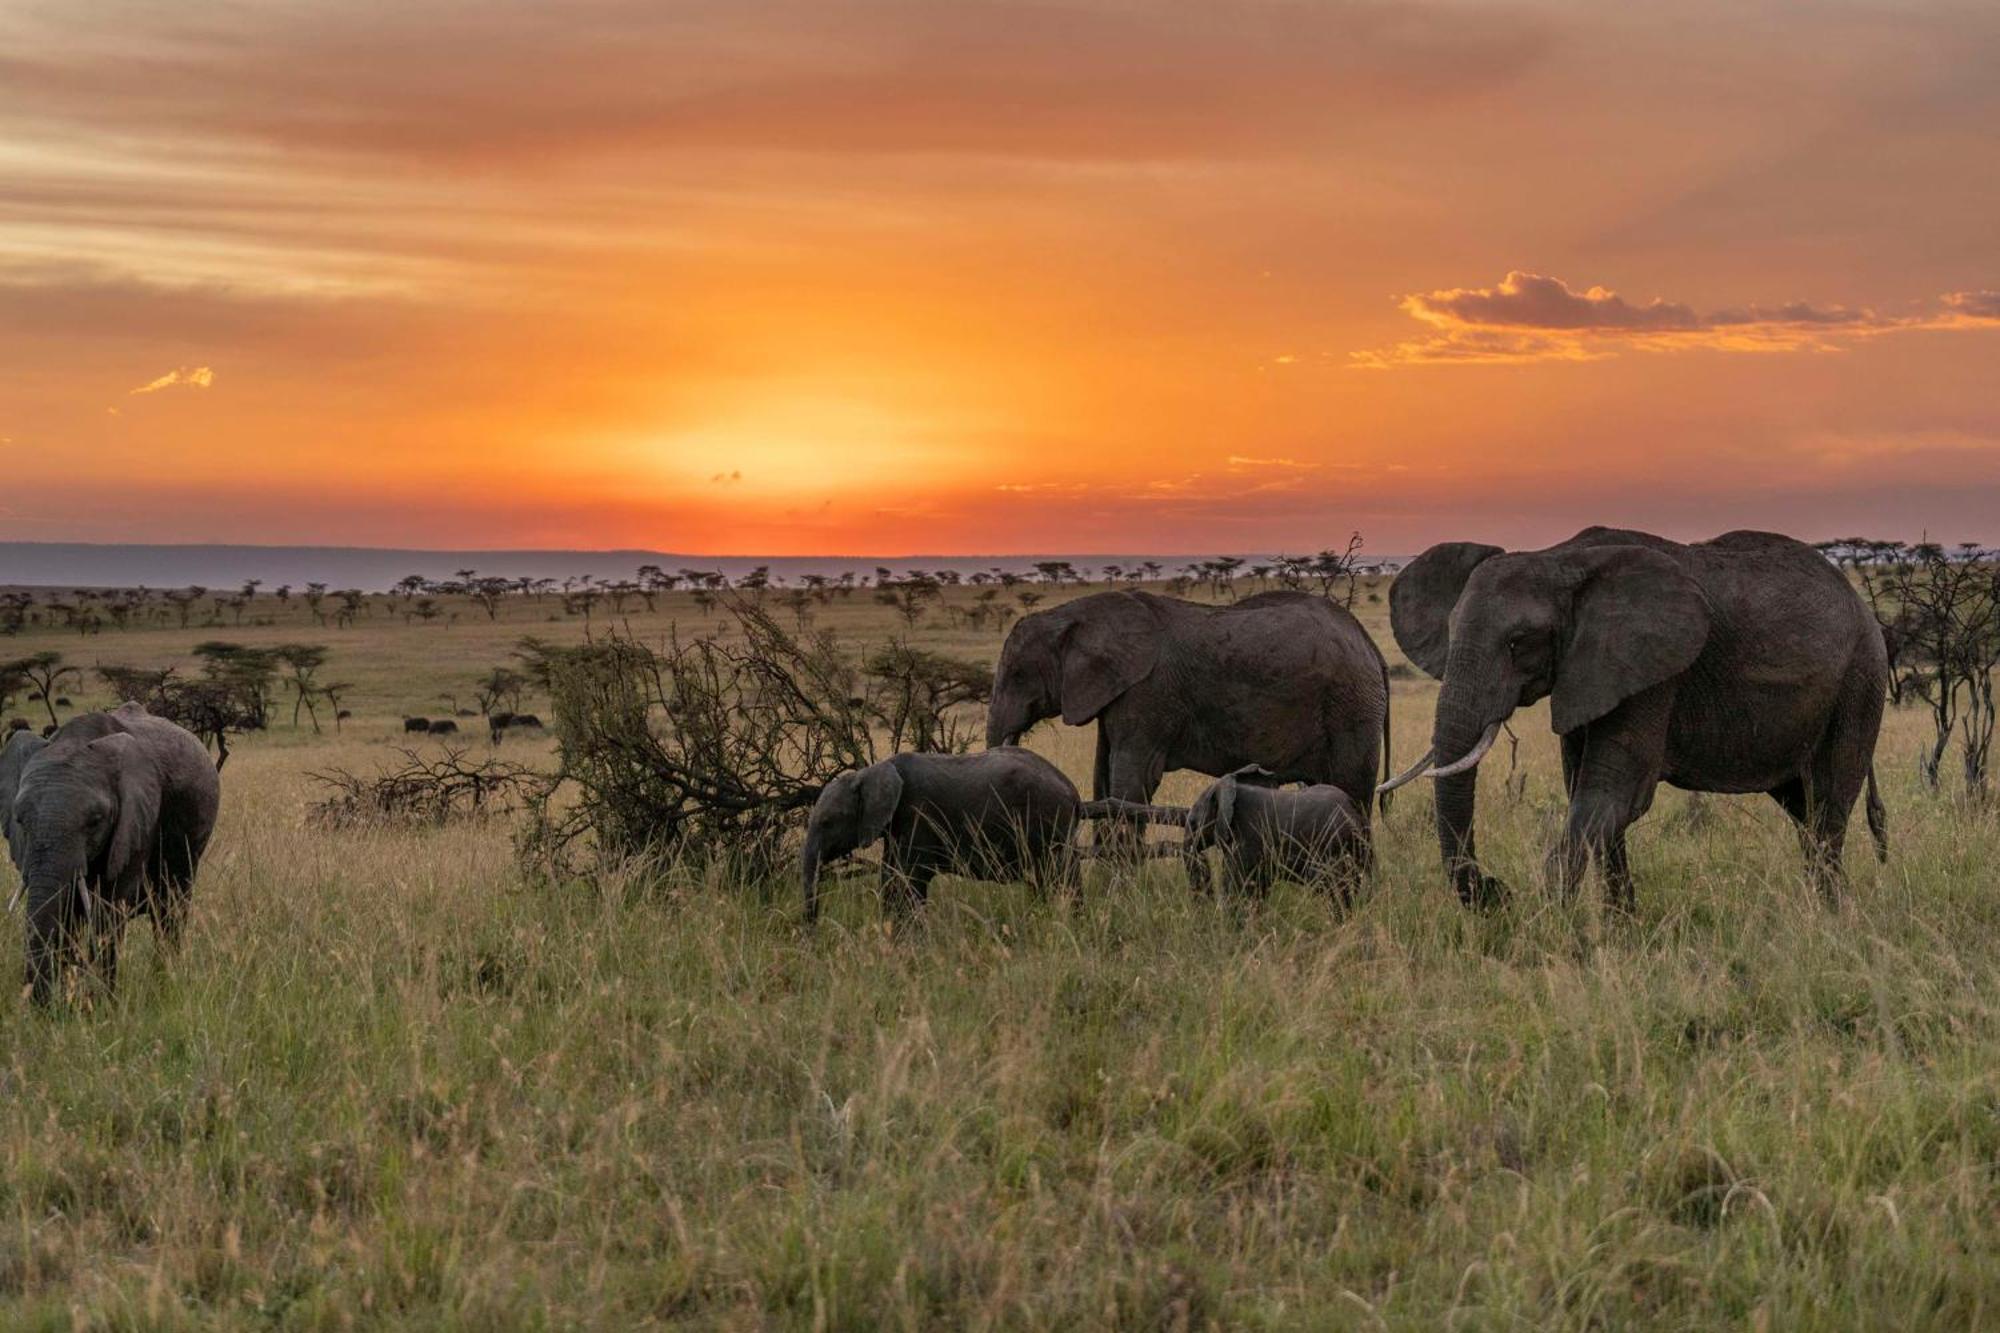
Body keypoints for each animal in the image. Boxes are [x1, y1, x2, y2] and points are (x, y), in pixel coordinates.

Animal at [1, 700, 222, 1000]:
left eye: (95, 821)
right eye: (20, 821)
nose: (39, 1004)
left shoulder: (138, 823)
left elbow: (106, 914)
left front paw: (101, 1003)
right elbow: (67, 915)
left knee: (170, 914)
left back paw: (164, 988)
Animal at [800, 740, 1088, 920]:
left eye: (827, 822)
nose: (813, 935)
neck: (870, 772)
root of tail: (1072, 791)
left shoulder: (918, 815)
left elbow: (909, 881)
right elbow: (891, 878)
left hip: (1050, 821)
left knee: (1061, 877)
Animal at [984, 588, 1392, 820]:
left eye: (1017, 675)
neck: (1075, 613)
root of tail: (1369, 643)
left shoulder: (1149, 693)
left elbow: (1132, 780)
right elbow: (1104, 777)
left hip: (1351, 708)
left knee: (1351, 790)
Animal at [1384, 524, 1880, 908]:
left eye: (1517, 642)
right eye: (1450, 633)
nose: (1495, 890)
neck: (1557, 560)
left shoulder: (1651, 675)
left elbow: (1611, 796)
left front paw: (1551, 929)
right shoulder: (1587, 673)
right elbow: (1591, 799)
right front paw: (1621, 928)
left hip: (1859, 682)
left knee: (1827, 808)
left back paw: (1829, 918)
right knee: (1803, 810)